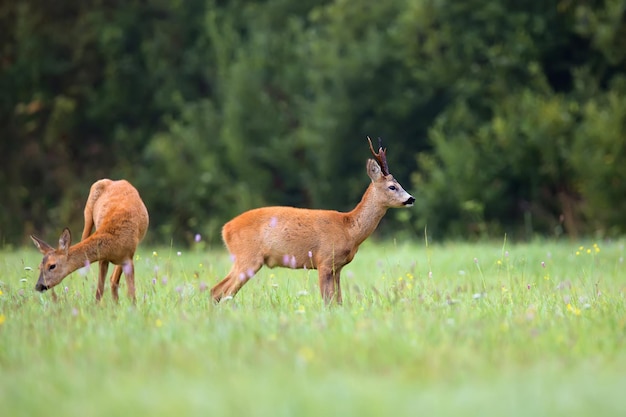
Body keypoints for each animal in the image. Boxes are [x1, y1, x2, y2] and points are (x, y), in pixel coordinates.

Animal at [211, 136, 414, 302]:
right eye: (392, 187)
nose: (411, 199)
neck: (349, 229)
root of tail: (225, 229)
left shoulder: (337, 267)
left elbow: (338, 301)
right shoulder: (323, 260)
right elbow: (327, 301)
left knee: (218, 290)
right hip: (247, 257)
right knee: (220, 291)